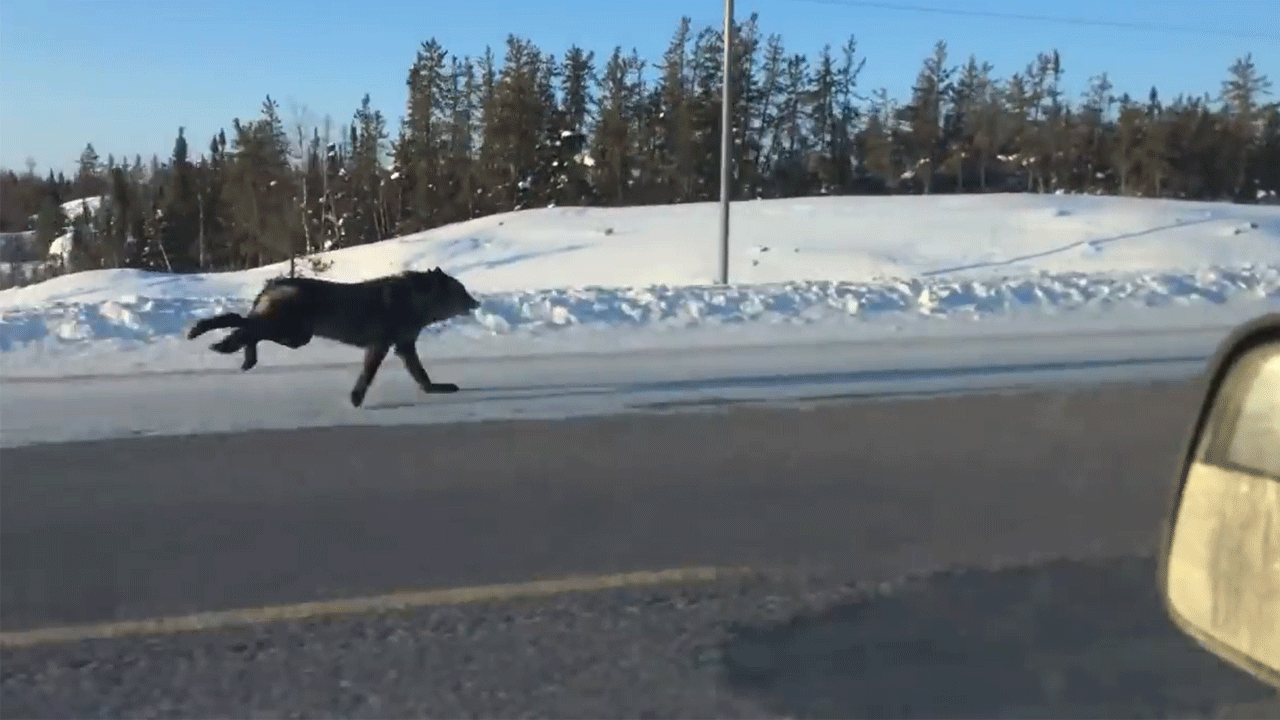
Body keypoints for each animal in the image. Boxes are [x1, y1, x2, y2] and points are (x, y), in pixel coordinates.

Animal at [187, 267, 481, 407]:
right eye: (462, 291)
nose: (476, 303)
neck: (415, 301)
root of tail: (275, 282)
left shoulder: (403, 346)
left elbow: (421, 376)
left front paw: (436, 389)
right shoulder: (382, 345)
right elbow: (368, 376)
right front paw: (356, 399)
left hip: (296, 337)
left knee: (246, 326)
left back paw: (236, 353)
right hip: (291, 332)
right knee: (244, 326)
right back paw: (216, 341)